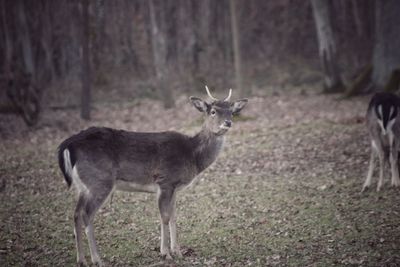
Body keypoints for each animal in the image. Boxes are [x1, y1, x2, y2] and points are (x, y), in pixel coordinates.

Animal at [58, 87, 248, 266]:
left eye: (231, 111)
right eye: (213, 111)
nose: (228, 122)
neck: (192, 156)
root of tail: (68, 145)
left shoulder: (175, 187)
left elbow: (173, 216)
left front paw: (178, 252)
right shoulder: (165, 180)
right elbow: (164, 216)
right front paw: (166, 253)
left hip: (83, 185)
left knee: (76, 213)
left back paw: (81, 260)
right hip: (100, 181)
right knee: (87, 214)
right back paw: (97, 259)